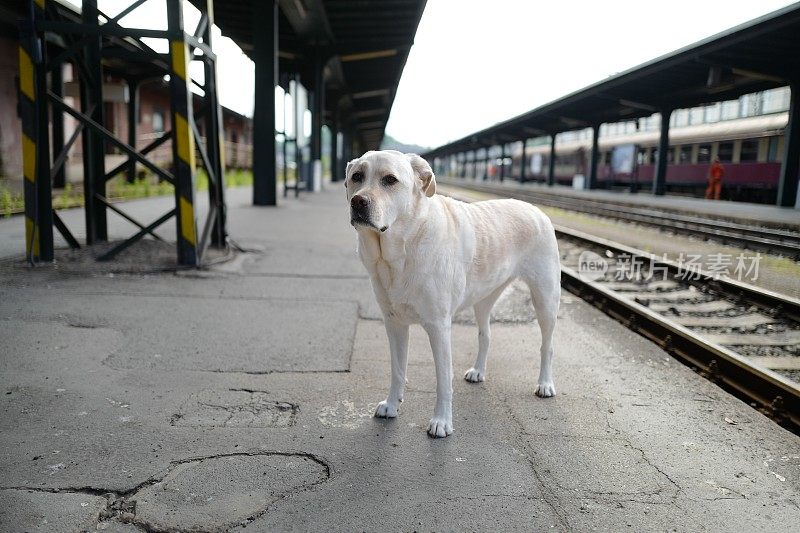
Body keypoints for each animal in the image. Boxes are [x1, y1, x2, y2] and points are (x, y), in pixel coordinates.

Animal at [346, 150, 564, 436]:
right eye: (356, 177)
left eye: (390, 180)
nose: (357, 202)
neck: (402, 250)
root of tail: (536, 209)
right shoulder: (394, 324)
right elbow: (397, 370)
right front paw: (392, 405)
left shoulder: (438, 327)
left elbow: (442, 380)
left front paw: (441, 421)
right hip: (483, 300)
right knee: (486, 335)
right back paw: (478, 371)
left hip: (545, 300)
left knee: (547, 346)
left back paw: (545, 384)